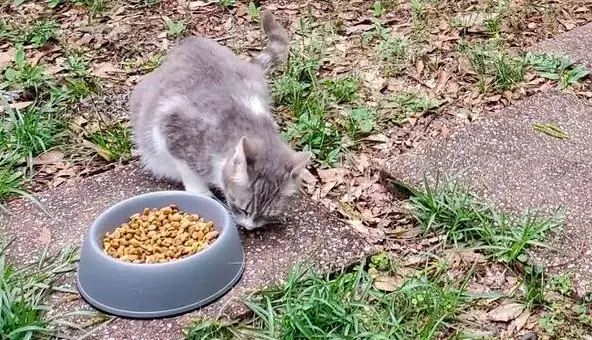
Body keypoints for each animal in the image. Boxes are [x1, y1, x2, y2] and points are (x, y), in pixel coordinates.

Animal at [130, 10, 312, 230]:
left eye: (266, 216)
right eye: (242, 208)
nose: (249, 227)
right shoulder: (172, 129)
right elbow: (187, 169)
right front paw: (201, 192)